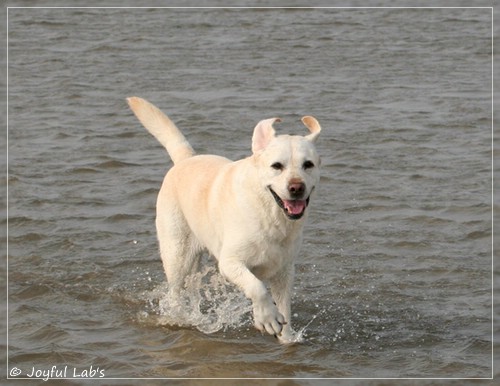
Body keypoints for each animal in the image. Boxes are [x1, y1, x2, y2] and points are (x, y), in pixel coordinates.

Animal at [126, 97, 320, 344]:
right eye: (277, 166)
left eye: (308, 165)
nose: (297, 188)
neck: (270, 214)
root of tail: (186, 158)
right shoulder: (230, 262)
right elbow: (257, 287)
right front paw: (267, 318)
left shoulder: (284, 271)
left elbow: (284, 307)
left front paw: (286, 336)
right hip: (176, 253)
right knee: (175, 291)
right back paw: (177, 315)